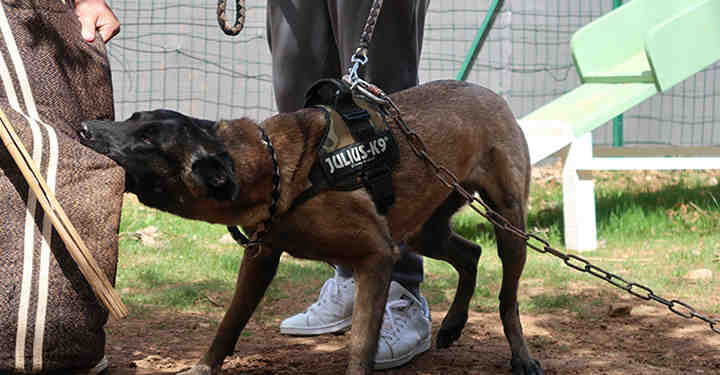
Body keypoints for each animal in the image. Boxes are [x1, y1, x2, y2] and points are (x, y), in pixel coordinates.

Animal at [79, 80, 544, 375]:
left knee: (507, 300)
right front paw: (203, 367)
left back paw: (521, 357)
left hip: (509, 227)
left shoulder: (377, 257)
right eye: (132, 119)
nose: (84, 127)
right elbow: (229, 322)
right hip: (422, 230)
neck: (272, 167)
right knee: (471, 254)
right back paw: (451, 325)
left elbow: (360, 346)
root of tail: (487, 91)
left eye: (148, 141)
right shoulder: (261, 258)